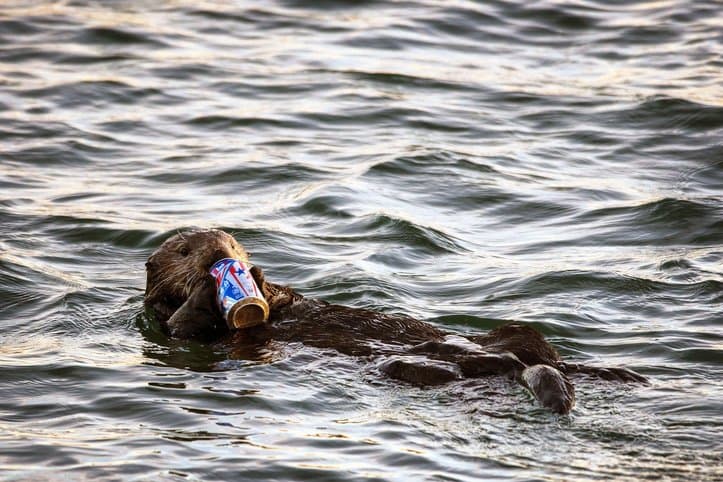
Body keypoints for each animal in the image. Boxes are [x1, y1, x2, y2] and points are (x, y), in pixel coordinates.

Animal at [144, 229, 646, 414]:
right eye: (185, 250)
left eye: (233, 243)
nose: (221, 255)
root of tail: (511, 362)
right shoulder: (173, 327)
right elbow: (183, 326)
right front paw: (208, 290)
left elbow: (282, 298)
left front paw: (258, 279)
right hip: (408, 368)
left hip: (514, 336)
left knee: (540, 352)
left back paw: (622, 374)